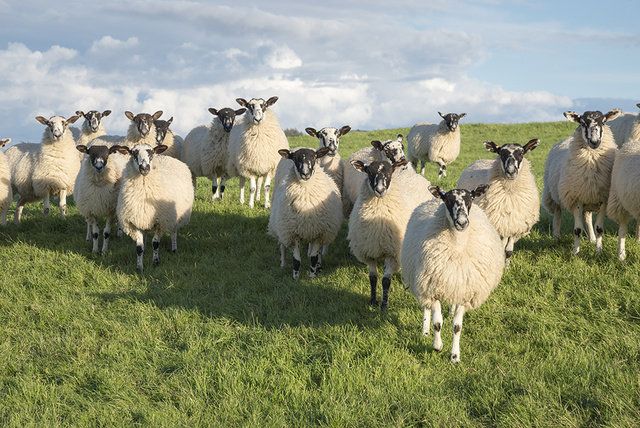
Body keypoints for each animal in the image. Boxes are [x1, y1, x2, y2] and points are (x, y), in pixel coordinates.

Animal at [114, 142, 195, 272]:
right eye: (133, 153)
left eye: (151, 152)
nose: (144, 168)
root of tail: (165, 156)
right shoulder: (134, 222)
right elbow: (139, 247)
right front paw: (139, 267)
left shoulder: (160, 222)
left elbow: (156, 243)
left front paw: (156, 262)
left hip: (173, 217)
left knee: (173, 232)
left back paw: (174, 248)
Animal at [266, 147, 342, 280]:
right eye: (294, 158)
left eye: (315, 157)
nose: (305, 174)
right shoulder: (293, 233)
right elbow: (296, 260)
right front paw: (295, 278)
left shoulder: (319, 233)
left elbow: (313, 257)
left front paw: (312, 276)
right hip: (280, 226)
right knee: (282, 245)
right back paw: (283, 263)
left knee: (316, 253)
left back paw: (318, 267)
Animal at [348, 157, 432, 310]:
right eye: (369, 172)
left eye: (389, 173)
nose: (380, 190)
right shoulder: (369, 252)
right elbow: (373, 278)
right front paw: (373, 301)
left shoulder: (392, 254)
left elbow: (386, 281)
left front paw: (384, 305)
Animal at [400, 186, 504, 362]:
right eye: (448, 201)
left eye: (470, 199)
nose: (462, 222)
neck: (458, 246)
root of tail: (434, 198)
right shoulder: (432, 287)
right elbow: (437, 323)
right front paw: (437, 346)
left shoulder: (465, 291)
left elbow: (457, 327)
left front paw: (455, 356)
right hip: (422, 281)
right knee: (426, 307)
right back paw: (425, 331)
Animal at [540, 108, 620, 254]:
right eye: (582, 123)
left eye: (603, 122)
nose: (594, 142)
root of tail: (566, 139)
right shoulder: (575, 198)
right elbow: (577, 230)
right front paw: (575, 253)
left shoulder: (603, 199)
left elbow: (599, 228)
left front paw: (598, 251)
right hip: (553, 194)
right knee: (557, 214)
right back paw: (556, 237)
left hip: (588, 199)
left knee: (587, 217)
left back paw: (592, 239)